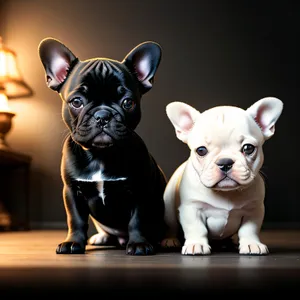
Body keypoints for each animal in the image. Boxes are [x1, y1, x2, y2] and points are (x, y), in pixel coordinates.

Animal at [38, 38, 166, 255]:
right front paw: (73, 242)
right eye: (76, 102)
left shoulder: (139, 190)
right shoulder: (71, 191)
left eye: (128, 102)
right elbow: (75, 219)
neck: (100, 154)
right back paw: (102, 237)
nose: (102, 115)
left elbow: (137, 220)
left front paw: (139, 243)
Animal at [161, 97, 282, 254]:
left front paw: (251, 244)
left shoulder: (253, 210)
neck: (226, 192)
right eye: (201, 150)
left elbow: (249, 229)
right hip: (169, 208)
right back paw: (170, 240)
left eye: (248, 148)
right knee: (171, 226)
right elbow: (196, 228)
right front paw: (196, 244)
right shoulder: (192, 208)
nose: (225, 163)